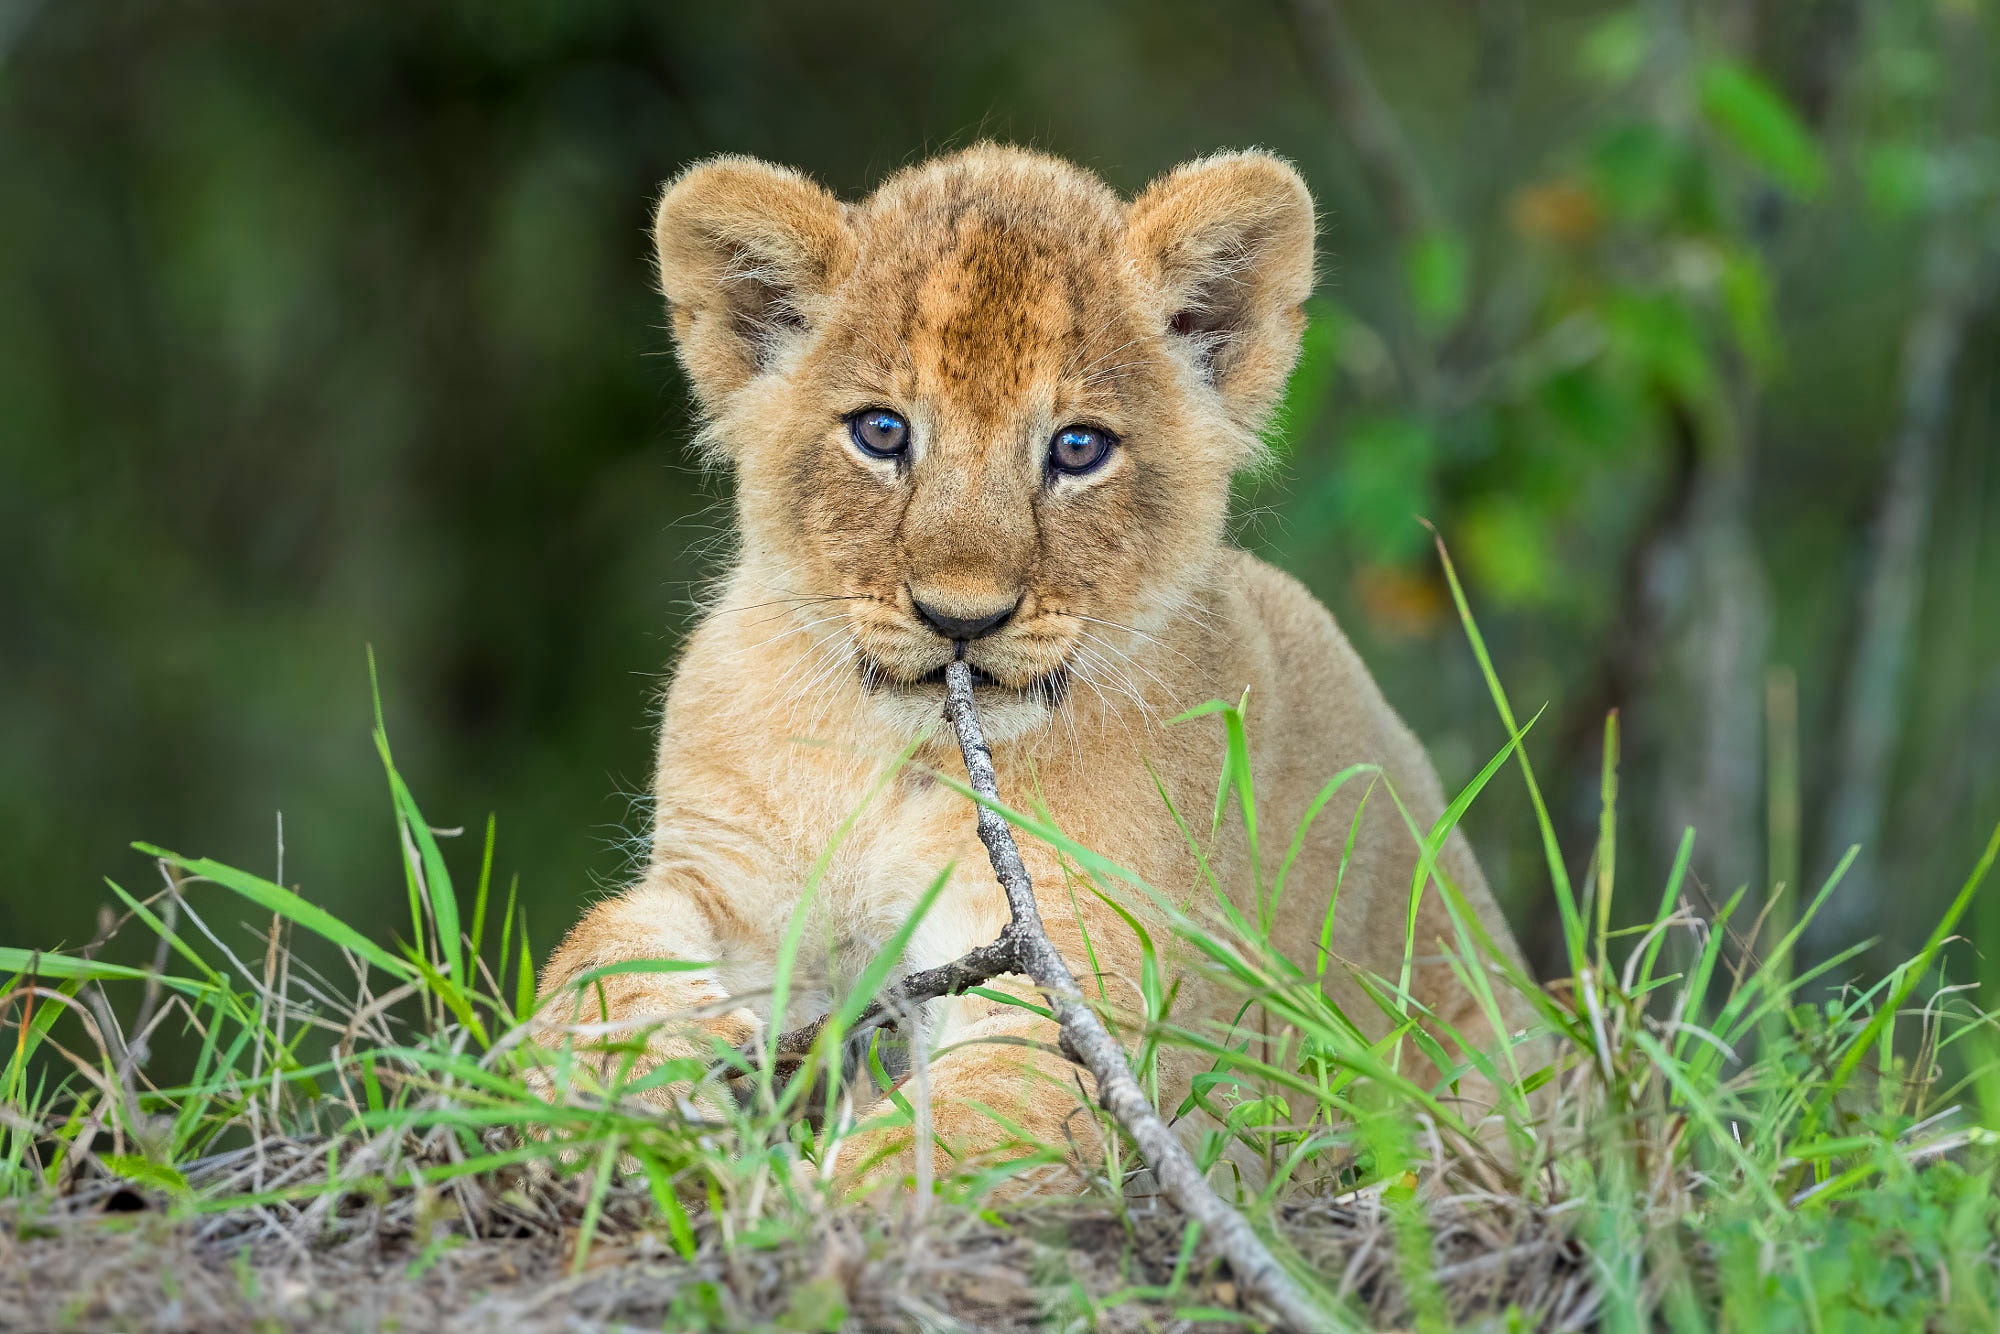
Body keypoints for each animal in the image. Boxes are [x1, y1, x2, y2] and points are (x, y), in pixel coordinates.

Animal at [534, 144, 1535, 1185]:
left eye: (1078, 447)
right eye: (881, 432)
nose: (959, 618)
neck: (907, 757)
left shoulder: (1088, 976)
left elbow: (940, 1144)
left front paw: (791, 1205)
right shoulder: (727, 878)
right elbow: (600, 952)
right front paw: (635, 1070)